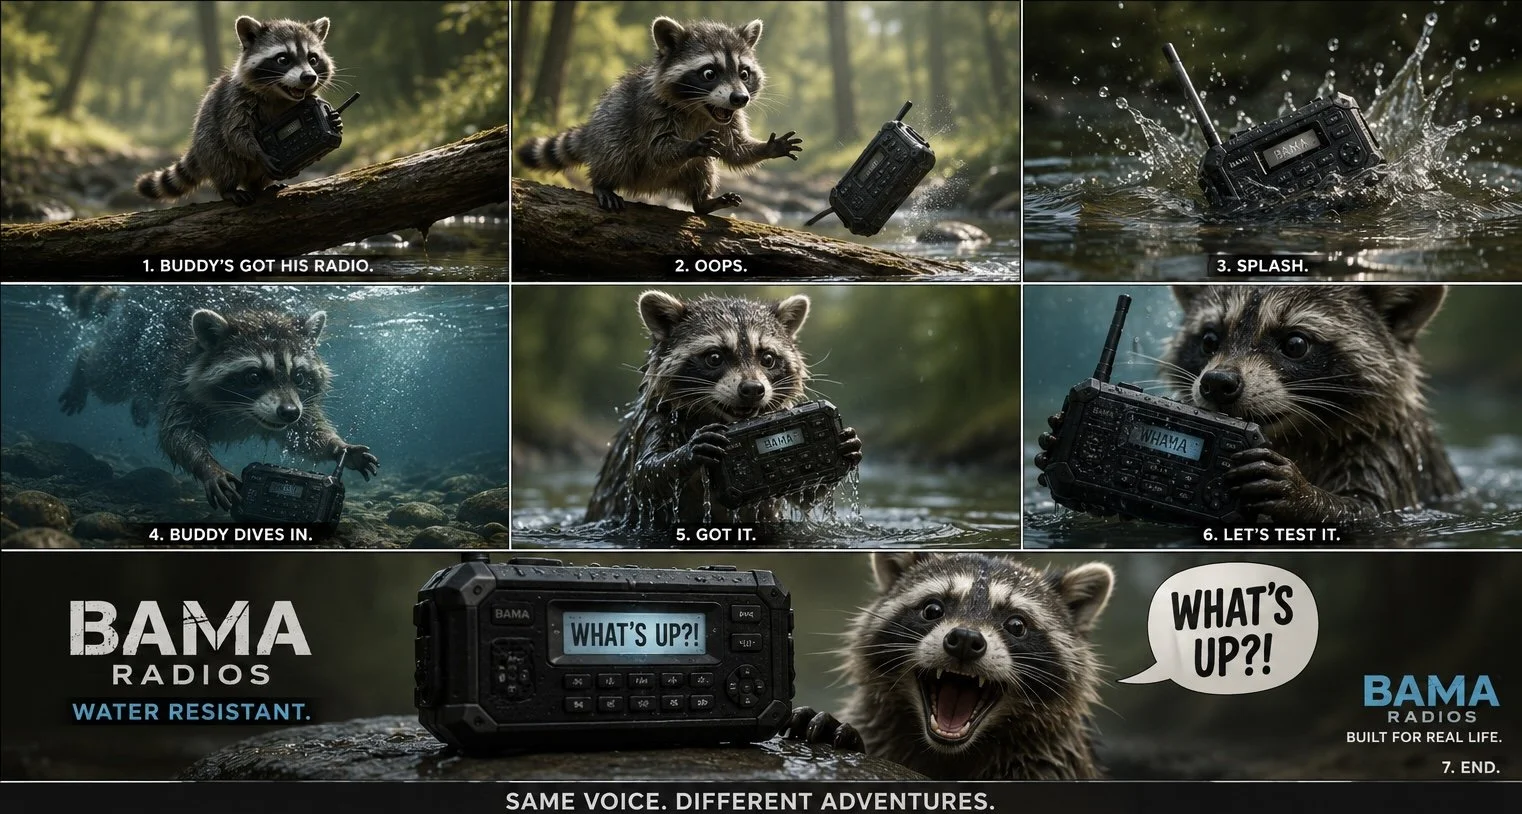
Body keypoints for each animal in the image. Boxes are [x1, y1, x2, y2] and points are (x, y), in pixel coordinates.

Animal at [57, 288, 379, 510]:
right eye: (254, 377)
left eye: (299, 377)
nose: (288, 412)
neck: (243, 410)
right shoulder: (181, 380)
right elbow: (177, 434)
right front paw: (208, 467)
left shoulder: (298, 403)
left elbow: (305, 433)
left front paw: (339, 447)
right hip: (131, 340)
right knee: (107, 374)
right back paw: (82, 368)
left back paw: (141, 404)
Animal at [136, 16, 342, 206]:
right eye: (283, 59)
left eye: (312, 59)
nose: (309, 77)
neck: (279, 96)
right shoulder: (235, 101)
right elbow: (236, 133)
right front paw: (257, 152)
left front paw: (333, 119)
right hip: (208, 140)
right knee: (222, 158)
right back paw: (228, 188)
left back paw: (259, 186)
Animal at [515, 16, 802, 214]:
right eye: (709, 73)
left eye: (744, 73)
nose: (740, 99)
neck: (699, 108)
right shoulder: (650, 111)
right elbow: (656, 148)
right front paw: (690, 145)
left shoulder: (730, 120)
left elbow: (735, 149)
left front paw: (768, 147)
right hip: (610, 128)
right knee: (615, 151)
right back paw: (603, 182)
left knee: (702, 167)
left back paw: (702, 201)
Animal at [582, 290, 861, 526]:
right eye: (714, 357)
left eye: (767, 358)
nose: (753, 390)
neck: (719, 417)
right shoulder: (654, 420)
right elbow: (643, 478)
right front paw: (687, 452)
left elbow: (805, 494)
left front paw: (846, 445)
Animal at [1037, 285, 1460, 525]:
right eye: (1209, 340)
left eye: (1295, 344)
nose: (1217, 384)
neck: (1294, 437)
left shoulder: (1391, 453)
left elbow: (1371, 512)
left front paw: (1305, 496)